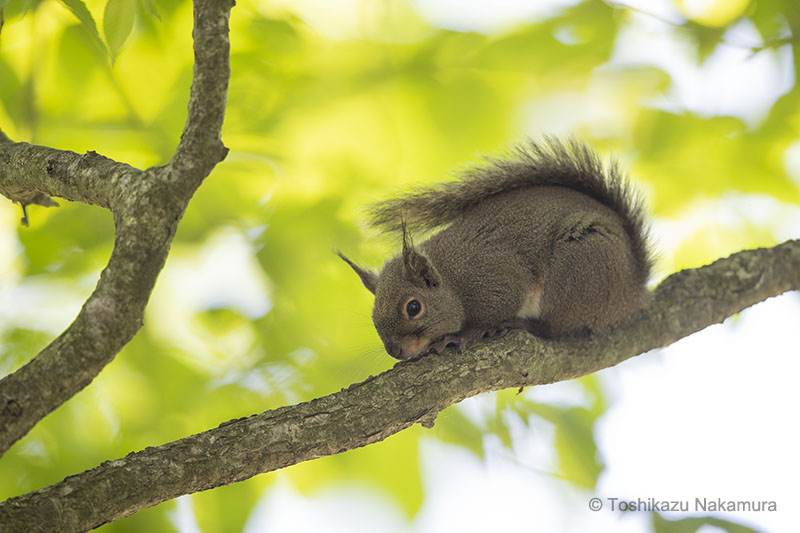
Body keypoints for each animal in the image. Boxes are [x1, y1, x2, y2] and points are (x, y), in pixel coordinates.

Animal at [336, 138, 648, 362]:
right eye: (374, 315)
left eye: (414, 307)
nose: (395, 352)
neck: (454, 279)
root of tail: (633, 289)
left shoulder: (498, 279)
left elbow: (491, 314)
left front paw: (461, 337)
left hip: (577, 268)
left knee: (556, 328)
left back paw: (522, 324)